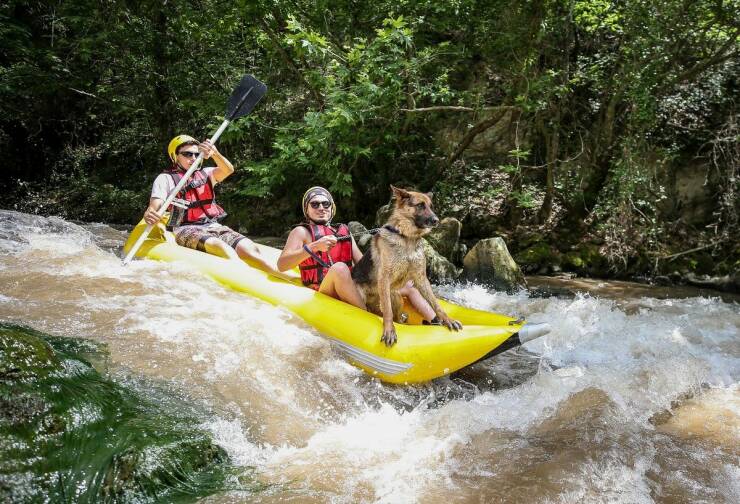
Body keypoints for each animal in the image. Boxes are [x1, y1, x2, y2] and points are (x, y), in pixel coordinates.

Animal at [352, 185, 462, 346]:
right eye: (420, 205)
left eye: (431, 206)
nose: (436, 220)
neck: (407, 237)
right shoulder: (384, 277)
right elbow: (387, 311)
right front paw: (389, 331)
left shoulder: (421, 278)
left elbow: (435, 303)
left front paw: (448, 320)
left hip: (397, 297)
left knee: (397, 317)